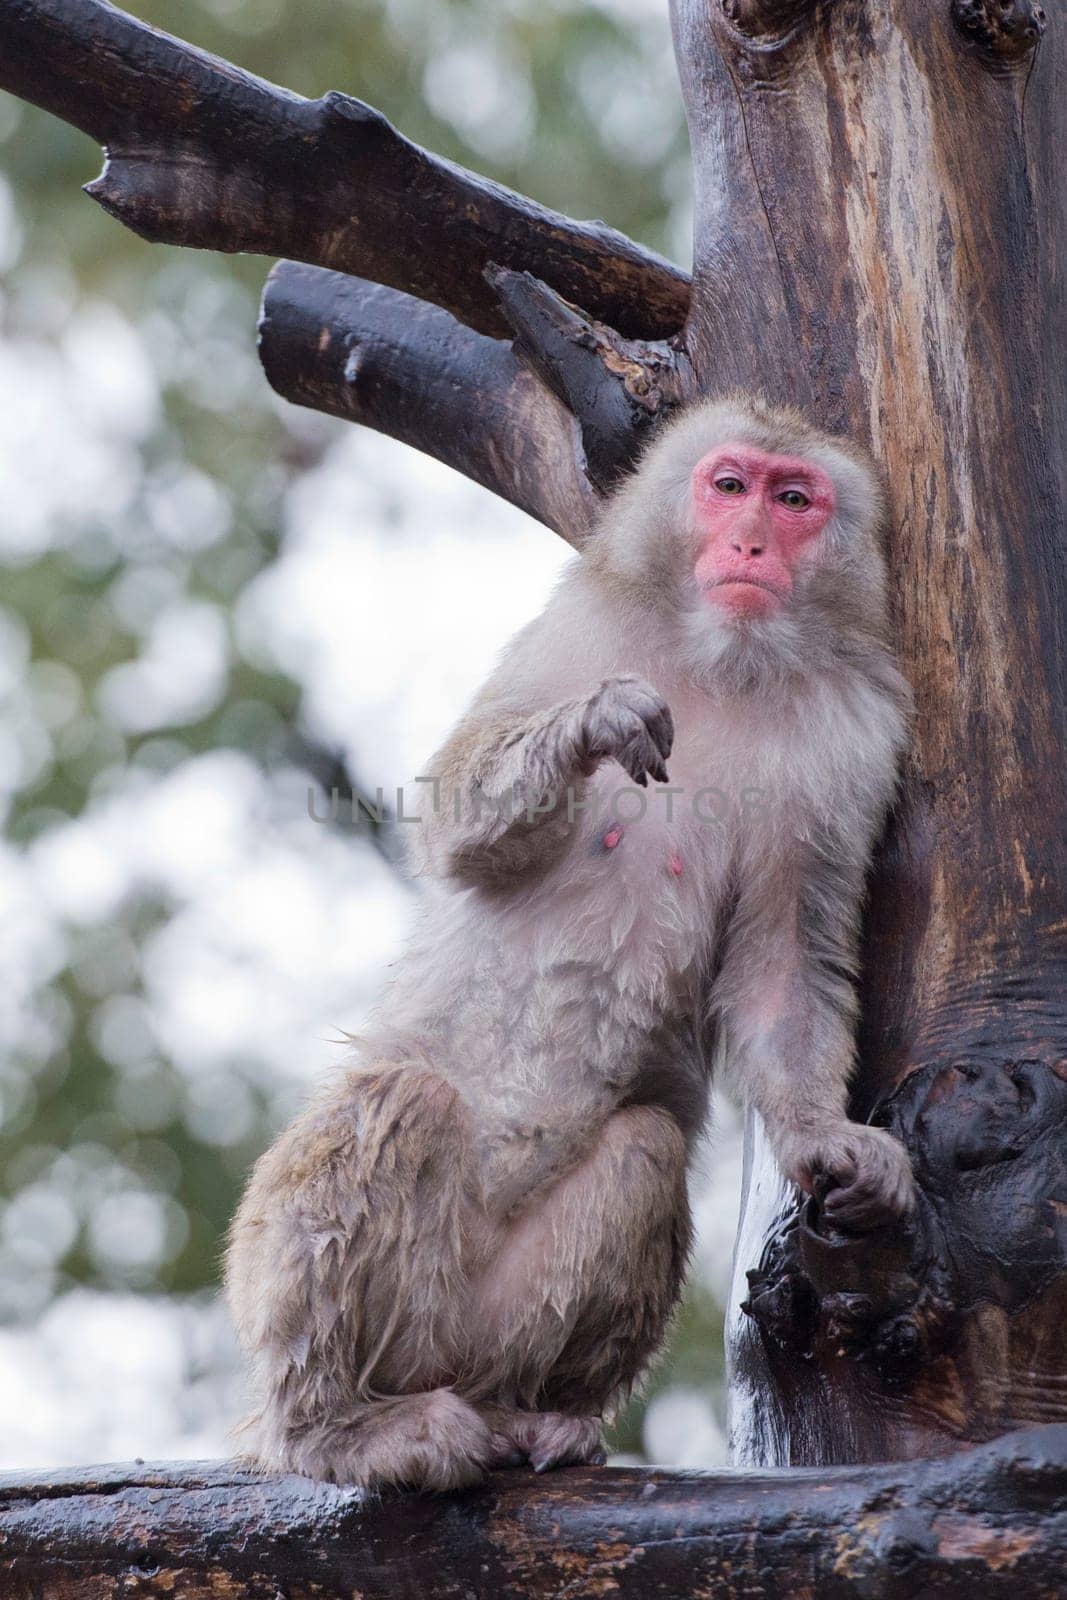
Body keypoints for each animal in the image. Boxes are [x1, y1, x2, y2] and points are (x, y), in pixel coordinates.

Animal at [227, 393, 921, 1491]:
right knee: (403, 1098)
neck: (728, 659)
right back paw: (333, 1427)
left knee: (640, 1148)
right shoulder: (579, 623)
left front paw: (825, 1141)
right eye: (729, 484)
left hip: (478, 1328)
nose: (749, 541)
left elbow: (784, 955)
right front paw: (596, 722)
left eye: (794, 500)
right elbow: (454, 822)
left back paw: (531, 1416)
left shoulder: (855, 735)